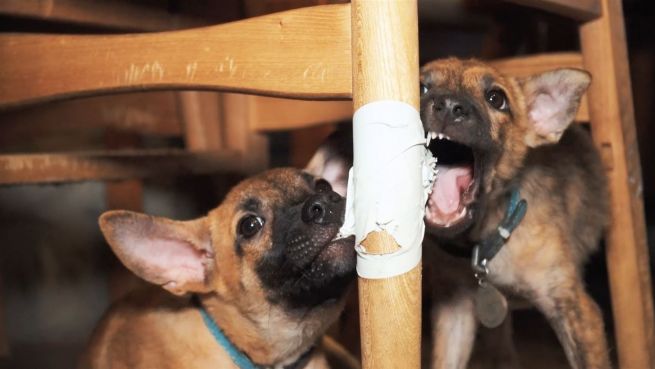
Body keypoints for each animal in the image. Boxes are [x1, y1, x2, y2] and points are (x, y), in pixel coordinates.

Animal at [422, 58, 612, 368]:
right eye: (423, 87)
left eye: (496, 99)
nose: (448, 106)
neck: (482, 243)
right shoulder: (455, 311)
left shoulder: (576, 308)